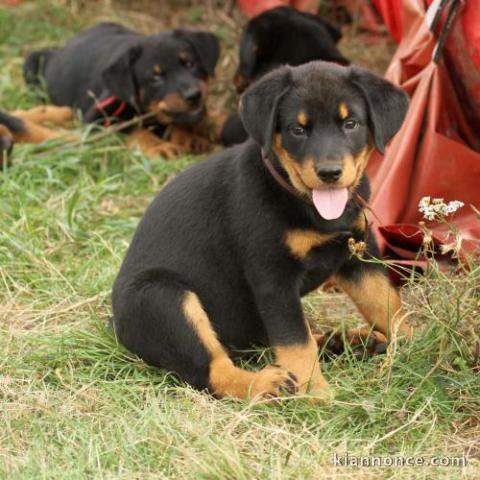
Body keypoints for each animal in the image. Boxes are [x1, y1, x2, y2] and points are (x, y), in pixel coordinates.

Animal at [24, 22, 219, 158]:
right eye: (156, 78)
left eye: (190, 64)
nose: (194, 95)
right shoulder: (95, 119)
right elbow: (132, 128)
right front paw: (159, 146)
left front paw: (189, 136)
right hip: (32, 62)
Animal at [111, 62, 408, 400]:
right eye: (297, 130)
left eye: (351, 124)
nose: (329, 173)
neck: (305, 204)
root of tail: (114, 325)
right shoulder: (273, 278)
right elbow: (296, 341)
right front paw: (316, 394)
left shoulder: (358, 253)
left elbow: (386, 303)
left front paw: (416, 344)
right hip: (164, 297)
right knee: (212, 370)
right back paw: (270, 383)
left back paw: (348, 341)